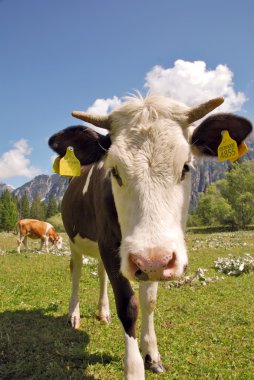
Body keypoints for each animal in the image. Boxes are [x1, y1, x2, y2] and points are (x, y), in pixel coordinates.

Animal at [48, 93, 252, 380]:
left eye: (186, 166)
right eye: (114, 171)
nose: (153, 261)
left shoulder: (145, 255)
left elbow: (149, 301)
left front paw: (152, 354)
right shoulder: (115, 247)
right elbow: (129, 306)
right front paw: (134, 368)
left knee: (100, 274)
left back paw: (103, 312)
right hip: (74, 240)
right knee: (76, 272)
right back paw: (74, 315)